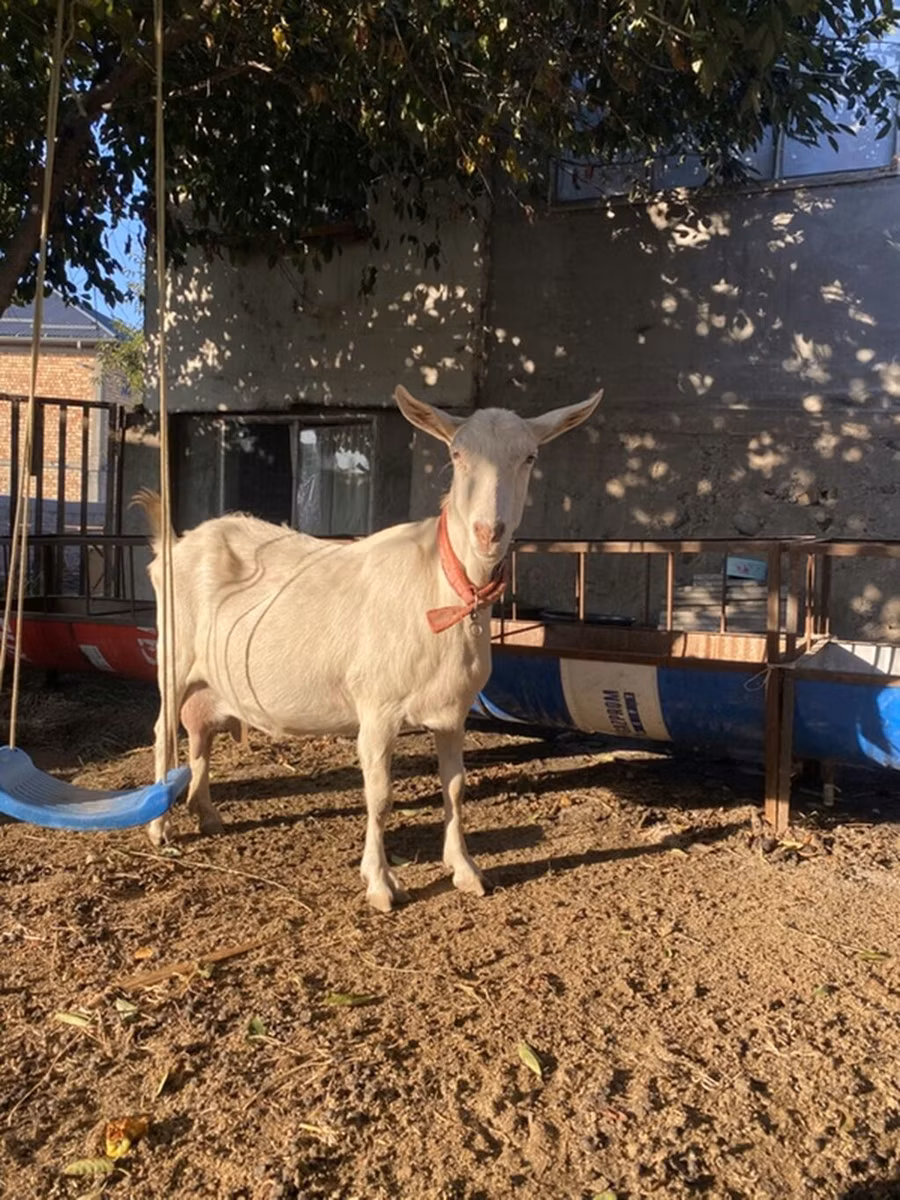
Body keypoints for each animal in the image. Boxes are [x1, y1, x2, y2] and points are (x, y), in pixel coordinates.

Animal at [135, 384, 601, 911]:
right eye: (457, 454)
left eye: (529, 456)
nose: (488, 532)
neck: (442, 585)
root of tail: (173, 545)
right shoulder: (377, 708)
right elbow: (380, 796)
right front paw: (380, 883)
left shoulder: (453, 712)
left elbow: (455, 787)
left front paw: (465, 869)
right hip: (173, 656)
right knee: (163, 732)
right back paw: (159, 828)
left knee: (200, 731)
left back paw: (206, 813)